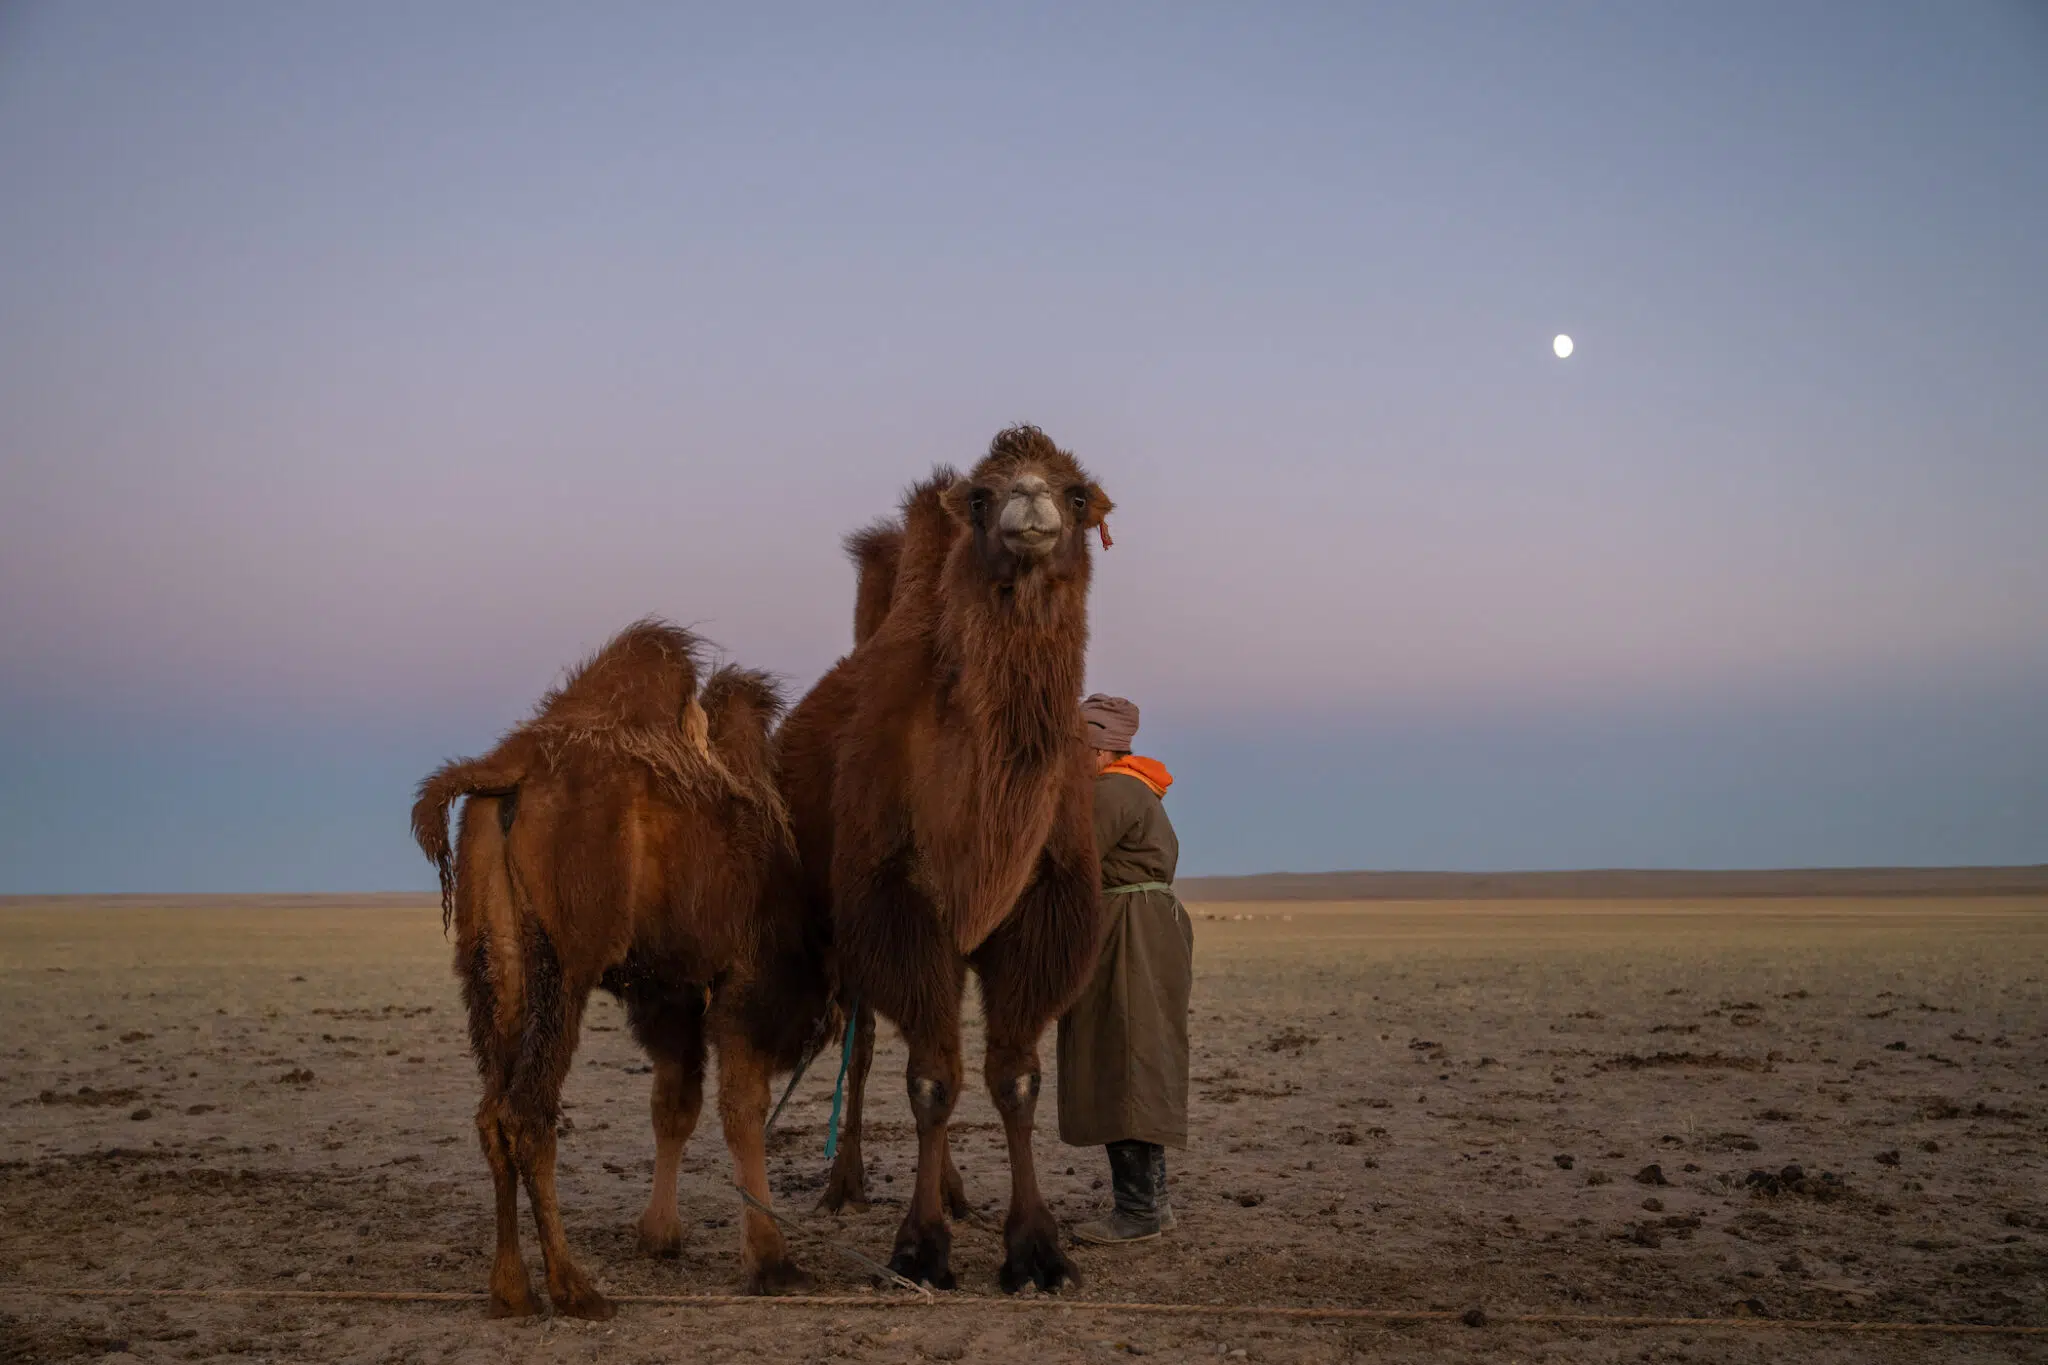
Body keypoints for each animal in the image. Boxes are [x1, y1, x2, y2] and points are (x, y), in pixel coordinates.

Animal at [410, 620, 831, 1318]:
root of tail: (507, 766)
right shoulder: (745, 974)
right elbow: (741, 1108)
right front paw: (772, 1262)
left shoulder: (672, 990)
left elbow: (675, 1103)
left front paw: (659, 1235)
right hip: (565, 964)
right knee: (528, 1113)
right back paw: (574, 1289)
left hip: (492, 957)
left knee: (493, 1110)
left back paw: (511, 1290)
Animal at [778, 425, 1114, 1292]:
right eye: (981, 496)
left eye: (1075, 493)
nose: (1029, 500)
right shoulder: (892, 900)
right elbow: (930, 1080)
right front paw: (919, 1248)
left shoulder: (1040, 905)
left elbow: (1014, 1077)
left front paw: (1036, 1249)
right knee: (866, 1045)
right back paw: (845, 1184)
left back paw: (959, 1194)